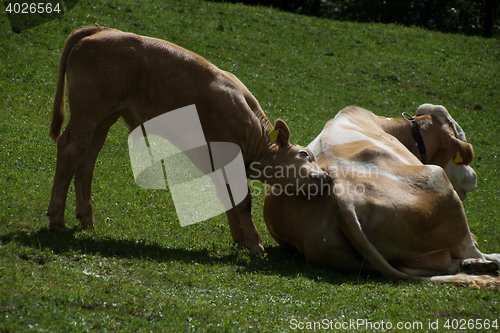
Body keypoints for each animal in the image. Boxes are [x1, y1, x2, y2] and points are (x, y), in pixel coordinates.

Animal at [47, 25, 328, 254]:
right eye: (304, 154)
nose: (325, 176)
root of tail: (101, 30)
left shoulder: (216, 161)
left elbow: (228, 197)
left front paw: (240, 238)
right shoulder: (227, 156)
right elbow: (243, 200)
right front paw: (256, 244)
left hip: (104, 117)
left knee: (87, 158)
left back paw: (86, 218)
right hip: (89, 110)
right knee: (71, 149)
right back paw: (56, 220)